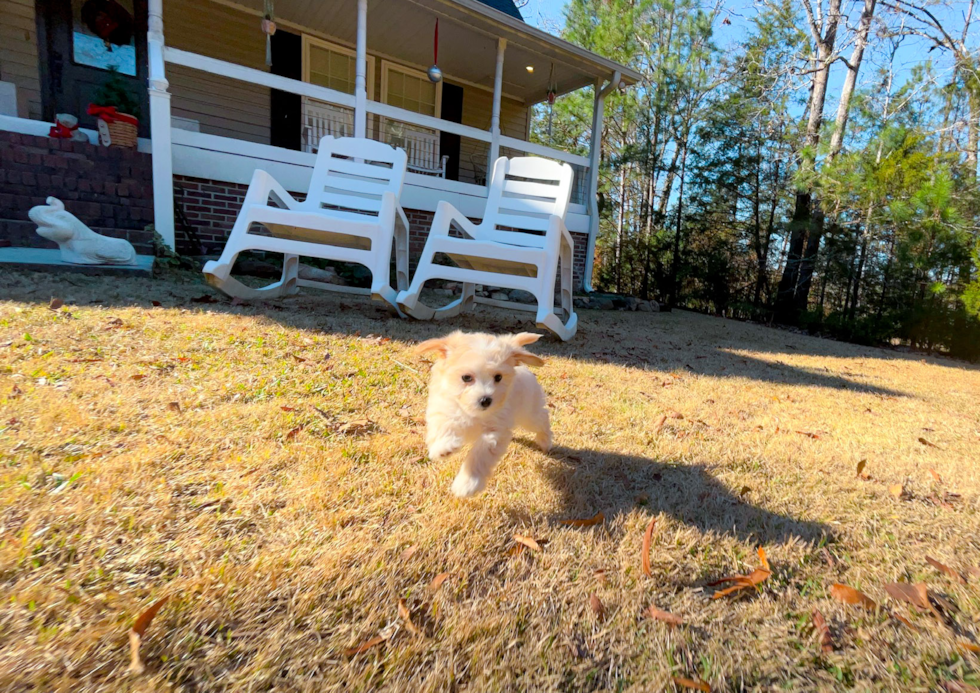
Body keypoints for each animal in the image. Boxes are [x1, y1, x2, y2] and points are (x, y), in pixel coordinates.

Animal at [416, 332, 552, 498]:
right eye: (466, 377)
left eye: (498, 377)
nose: (486, 400)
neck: (473, 414)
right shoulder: (444, 406)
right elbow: (444, 424)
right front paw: (444, 447)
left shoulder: (495, 432)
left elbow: (480, 454)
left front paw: (467, 484)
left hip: (529, 413)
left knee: (542, 420)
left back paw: (545, 441)